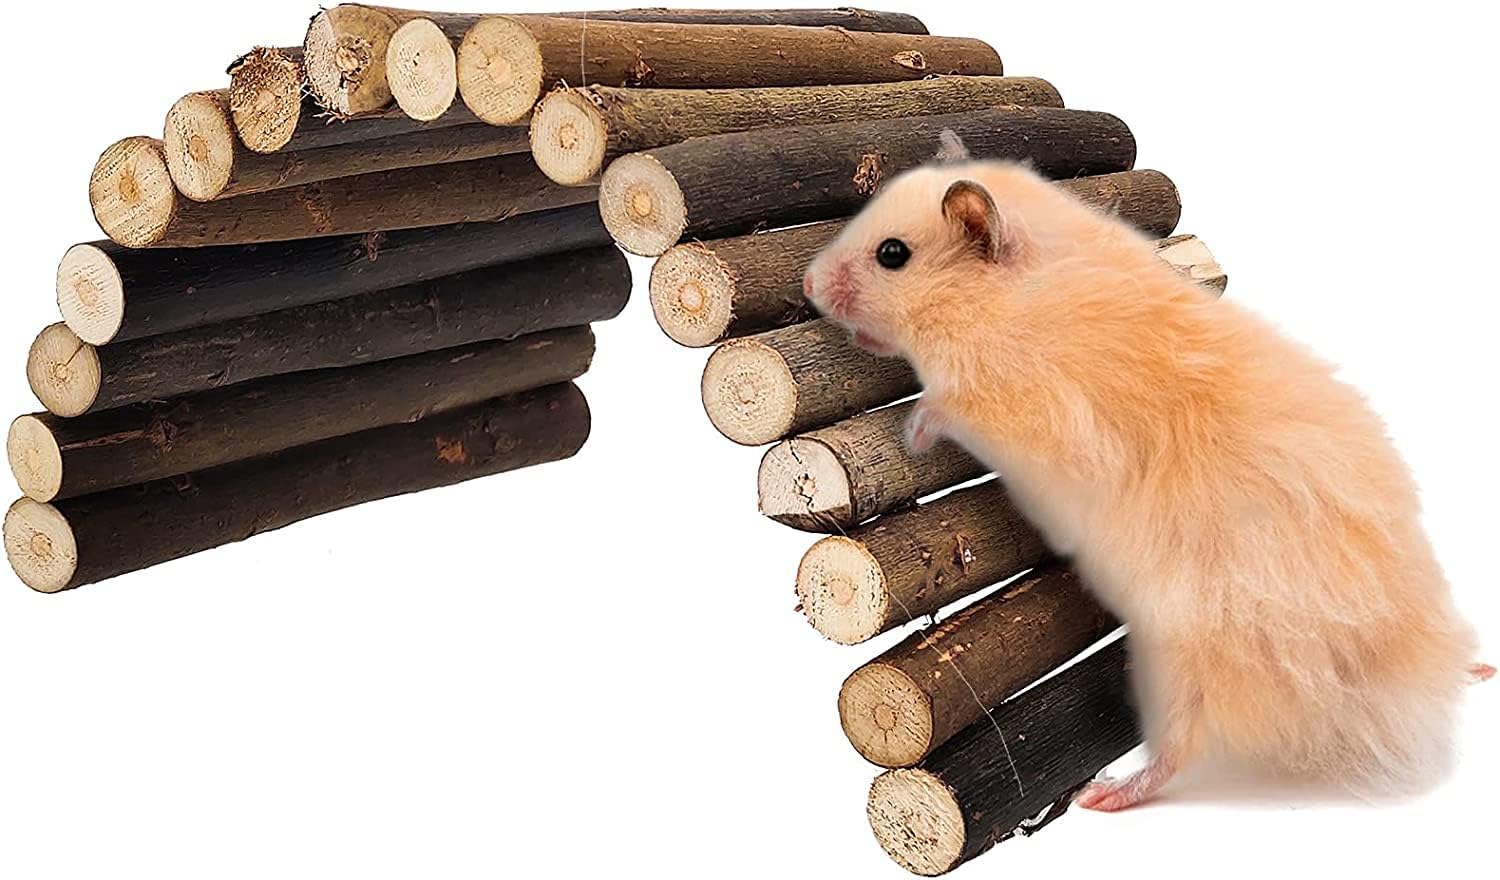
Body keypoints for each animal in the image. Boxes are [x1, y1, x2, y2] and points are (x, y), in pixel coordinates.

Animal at [803, 135, 1491, 811]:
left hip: (1187, 658)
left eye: (893, 254)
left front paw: (912, 432)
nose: (809, 283)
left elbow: (947, 403)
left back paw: (1104, 795)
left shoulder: (1024, 405)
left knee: (1181, 748)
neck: (1011, 298)